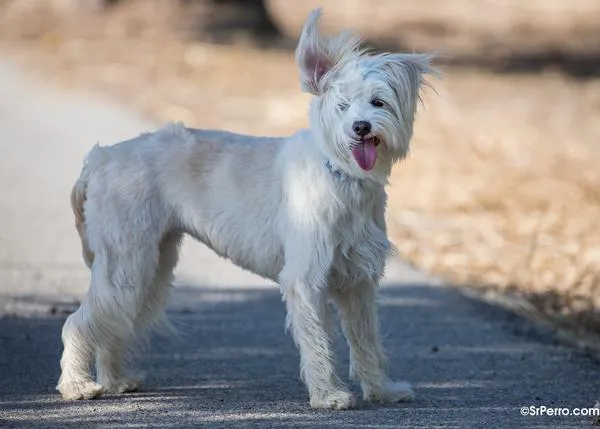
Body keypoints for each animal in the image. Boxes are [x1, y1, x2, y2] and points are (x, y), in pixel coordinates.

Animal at [57, 7, 436, 408]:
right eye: (342, 107)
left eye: (378, 102)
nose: (361, 127)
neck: (338, 173)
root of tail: (101, 159)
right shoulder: (305, 280)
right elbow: (318, 343)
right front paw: (328, 395)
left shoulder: (358, 285)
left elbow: (367, 343)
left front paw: (382, 390)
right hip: (127, 266)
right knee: (78, 324)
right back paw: (78, 385)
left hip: (149, 269)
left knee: (113, 326)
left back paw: (115, 381)